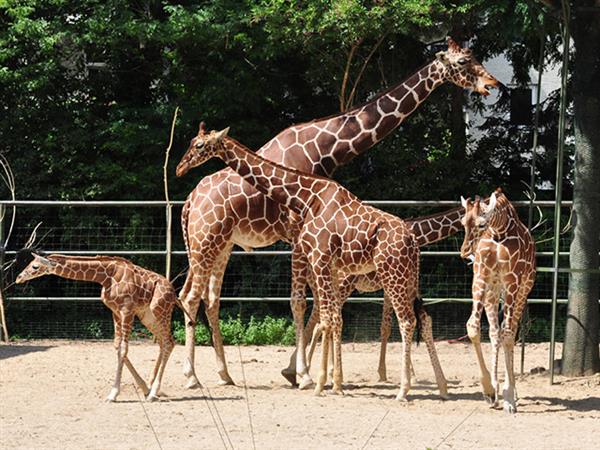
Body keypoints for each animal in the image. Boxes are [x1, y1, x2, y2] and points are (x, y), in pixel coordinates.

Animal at [15, 251, 178, 402]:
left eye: (35, 266)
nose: (18, 278)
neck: (105, 277)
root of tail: (173, 293)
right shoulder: (115, 312)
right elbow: (117, 346)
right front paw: (143, 388)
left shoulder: (127, 311)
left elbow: (123, 349)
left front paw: (113, 394)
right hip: (147, 316)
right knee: (163, 342)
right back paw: (152, 387)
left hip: (160, 311)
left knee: (169, 342)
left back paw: (154, 392)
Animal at [176, 127, 448, 400]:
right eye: (192, 142)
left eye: (199, 145)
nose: (180, 167)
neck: (306, 196)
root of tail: (412, 241)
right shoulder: (329, 265)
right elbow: (331, 318)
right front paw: (331, 382)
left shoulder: (320, 257)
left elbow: (325, 317)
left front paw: (320, 382)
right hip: (407, 277)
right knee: (423, 317)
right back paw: (441, 387)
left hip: (392, 274)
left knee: (407, 321)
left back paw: (403, 390)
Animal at [458, 188, 536, 414]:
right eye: (462, 222)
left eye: (481, 224)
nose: (464, 252)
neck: (499, 232)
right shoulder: (480, 277)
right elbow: (473, 327)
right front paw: (489, 390)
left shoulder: (512, 280)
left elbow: (508, 333)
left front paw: (509, 397)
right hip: (493, 292)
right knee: (494, 332)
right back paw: (495, 387)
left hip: (522, 290)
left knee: (511, 329)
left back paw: (513, 393)